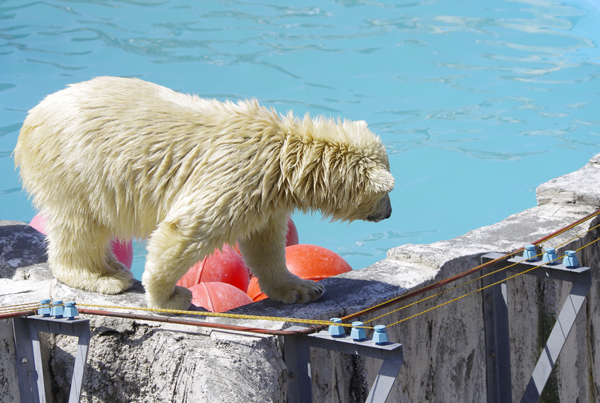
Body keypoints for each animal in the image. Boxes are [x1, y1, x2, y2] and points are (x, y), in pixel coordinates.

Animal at [14, 77, 394, 310]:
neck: (285, 157)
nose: (389, 212)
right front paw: (170, 297)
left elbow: (265, 243)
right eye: (387, 193)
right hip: (76, 166)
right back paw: (103, 277)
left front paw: (303, 288)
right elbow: (187, 229)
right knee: (80, 224)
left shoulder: (264, 196)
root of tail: (31, 118)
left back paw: (112, 266)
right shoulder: (236, 178)